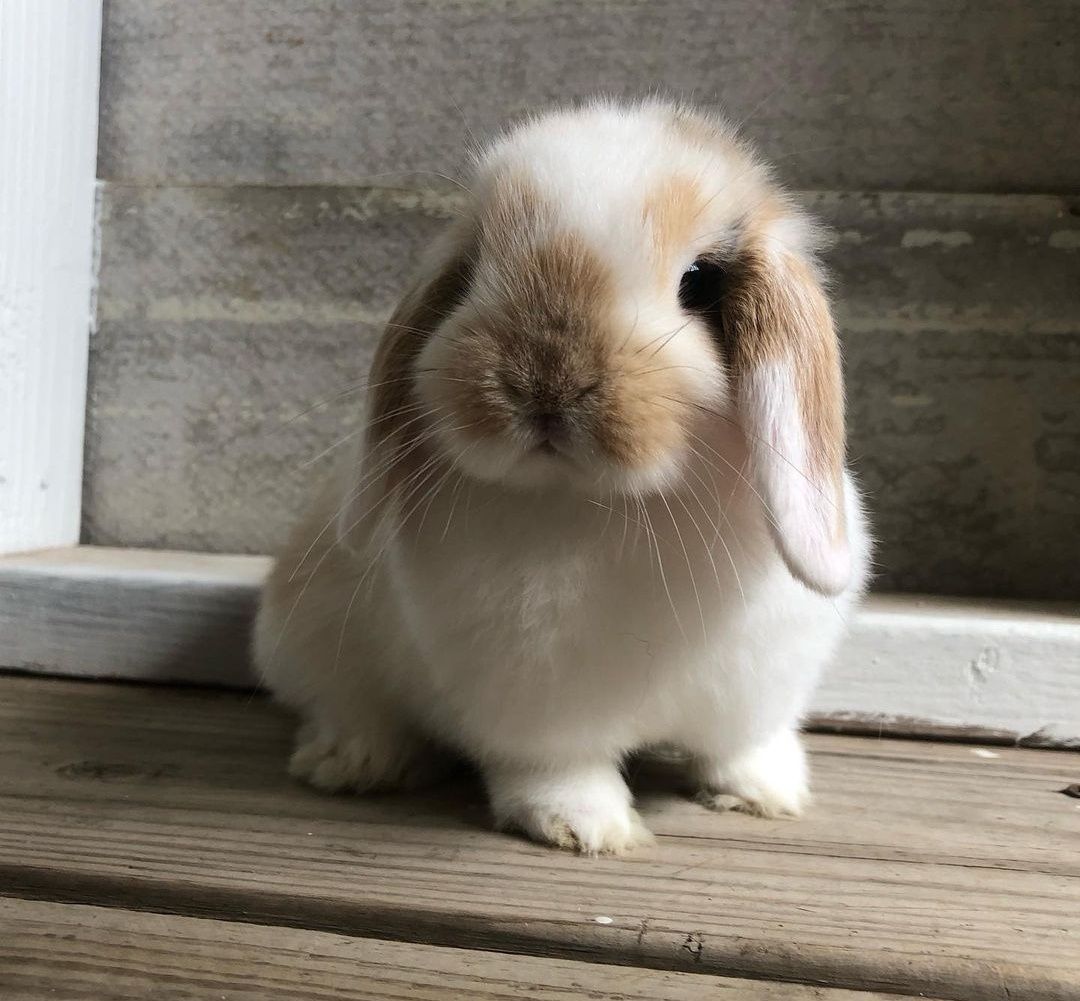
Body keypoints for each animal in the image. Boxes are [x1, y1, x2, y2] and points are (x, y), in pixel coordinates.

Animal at [254, 99, 876, 855]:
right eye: (471, 274)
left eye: (699, 281)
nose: (543, 380)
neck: (603, 504)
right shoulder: (534, 706)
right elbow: (558, 768)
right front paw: (588, 829)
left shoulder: (756, 687)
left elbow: (738, 746)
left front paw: (766, 793)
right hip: (310, 644)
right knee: (345, 706)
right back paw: (351, 762)